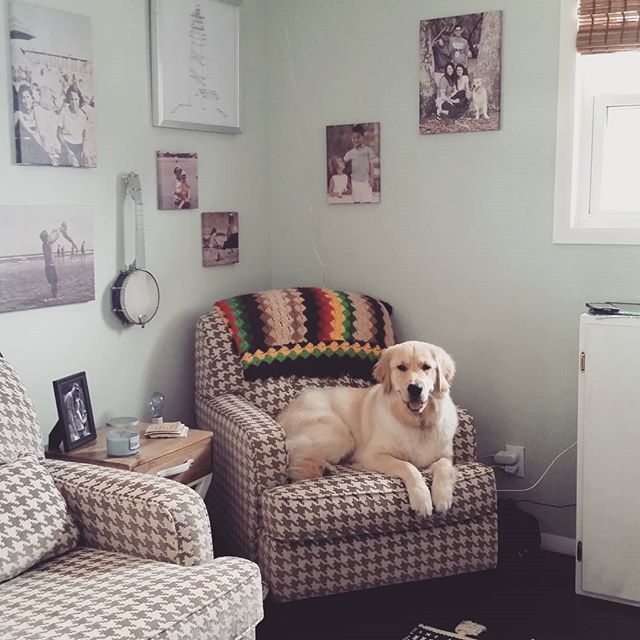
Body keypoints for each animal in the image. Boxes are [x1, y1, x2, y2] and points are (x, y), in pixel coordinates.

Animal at [277, 341, 459, 516]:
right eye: (401, 367)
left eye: (426, 367)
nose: (415, 388)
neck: (417, 422)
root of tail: (284, 412)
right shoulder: (373, 455)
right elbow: (409, 467)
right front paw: (422, 499)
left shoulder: (446, 456)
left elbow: (444, 467)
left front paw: (443, 496)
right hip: (341, 437)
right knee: (294, 458)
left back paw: (326, 468)